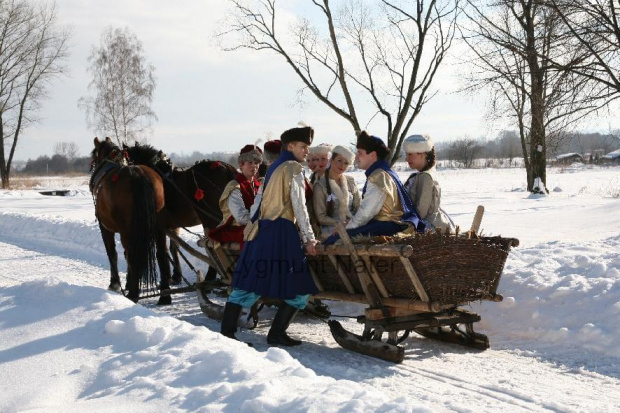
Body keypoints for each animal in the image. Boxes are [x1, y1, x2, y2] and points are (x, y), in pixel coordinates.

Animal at [90, 138, 172, 302]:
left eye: (94, 157)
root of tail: (138, 174)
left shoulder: (105, 227)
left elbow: (112, 254)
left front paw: (115, 283)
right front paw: (127, 282)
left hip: (127, 229)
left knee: (132, 254)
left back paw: (133, 294)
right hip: (158, 225)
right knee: (161, 253)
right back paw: (164, 295)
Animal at [123, 143, 237, 282]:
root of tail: (226, 167)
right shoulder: (173, 225)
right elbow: (174, 248)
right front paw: (177, 275)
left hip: (208, 218)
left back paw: (211, 276)